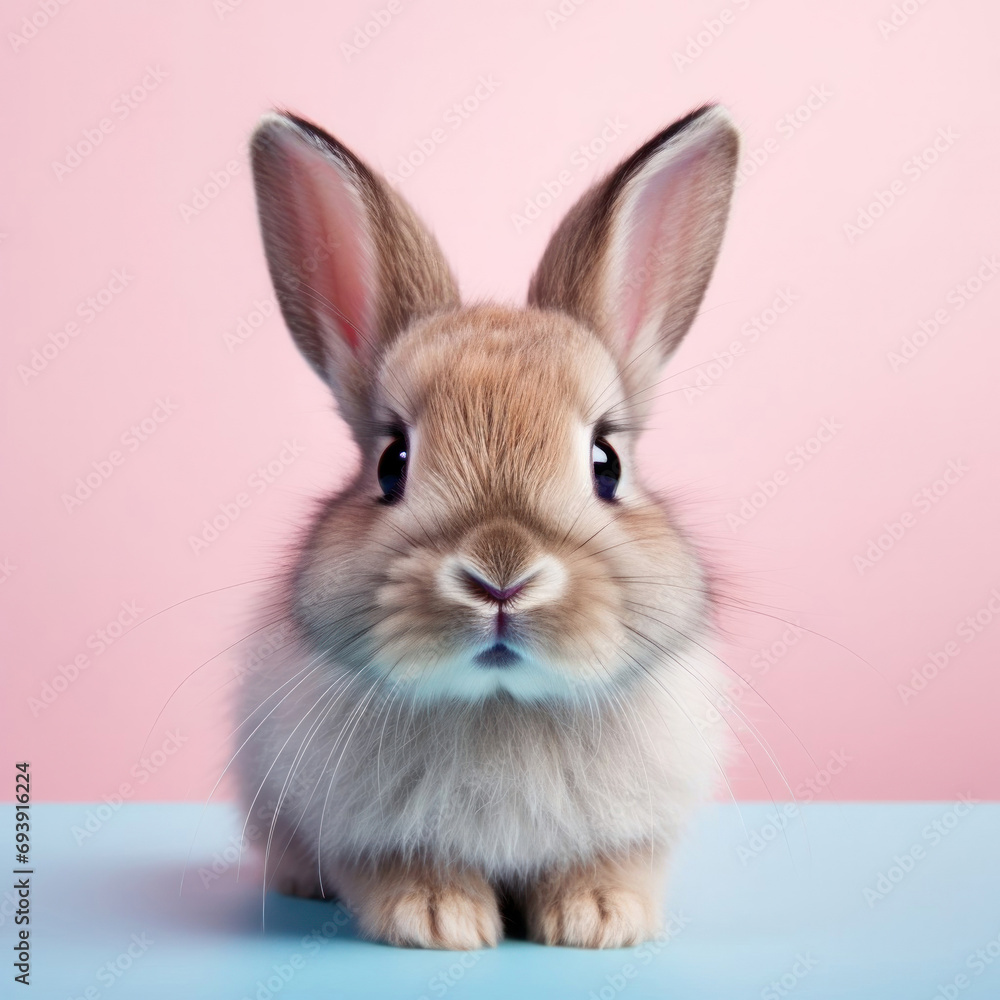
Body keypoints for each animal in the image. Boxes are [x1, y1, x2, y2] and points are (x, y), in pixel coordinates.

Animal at [236, 103, 740, 950]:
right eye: (393, 463)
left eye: (606, 462)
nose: (501, 578)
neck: (500, 706)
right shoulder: (364, 834)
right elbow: (398, 868)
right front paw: (439, 919)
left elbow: (610, 864)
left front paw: (599, 919)